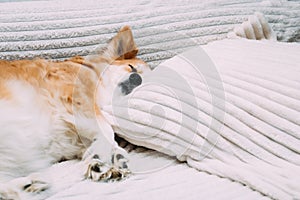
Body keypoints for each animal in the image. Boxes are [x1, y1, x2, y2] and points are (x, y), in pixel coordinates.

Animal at [0, 26, 150, 198]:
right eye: (131, 67)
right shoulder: (74, 95)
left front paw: (107, 159)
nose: (136, 78)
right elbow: (106, 127)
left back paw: (28, 186)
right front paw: (107, 153)